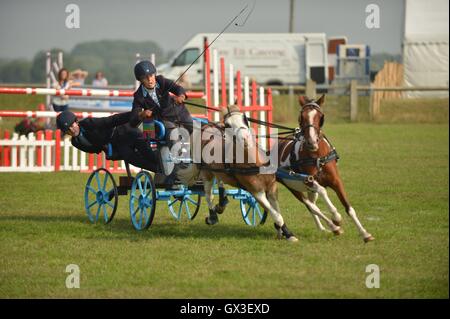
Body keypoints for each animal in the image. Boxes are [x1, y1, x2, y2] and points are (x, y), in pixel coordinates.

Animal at [278, 96, 376, 244]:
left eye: (320, 117)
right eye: (301, 117)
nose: (311, 142)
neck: (317, 156)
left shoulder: (336, 182)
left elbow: (349, 208)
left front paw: (365, 233)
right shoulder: (309, 181)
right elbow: (323, 191)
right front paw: (336, 216)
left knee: (312, 205)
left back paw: (323, 228)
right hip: (293, 187)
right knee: (311, 206)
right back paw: (333, 226)